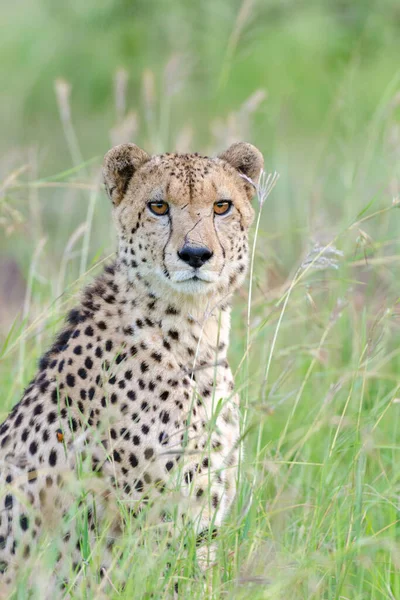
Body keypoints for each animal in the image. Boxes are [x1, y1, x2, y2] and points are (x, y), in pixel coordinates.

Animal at [0, 142, 262, 596]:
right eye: (158, 206)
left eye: (222, 206)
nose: (195, 255)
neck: (193, 335)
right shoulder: (156, 530)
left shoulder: (200, 523)